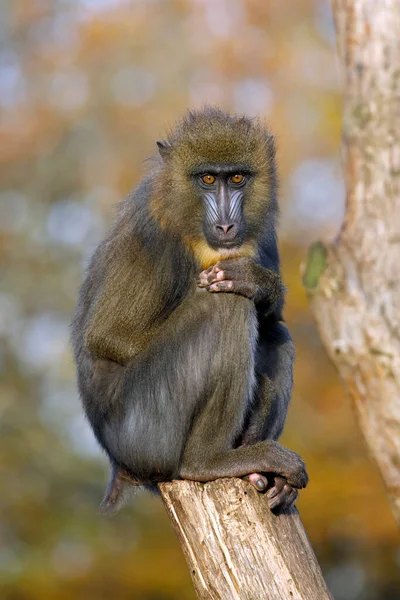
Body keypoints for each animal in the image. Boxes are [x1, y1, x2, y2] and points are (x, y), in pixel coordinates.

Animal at [72, 105, 308, 512]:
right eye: (208, 179)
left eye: (237, 178)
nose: (227, 225)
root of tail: (120, 466)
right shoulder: (153, 233)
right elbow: (108, 336)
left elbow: (273, 315)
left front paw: (258, 282)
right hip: (148, 427)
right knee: (225, 307)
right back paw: (209, 461)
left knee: (275, 331)